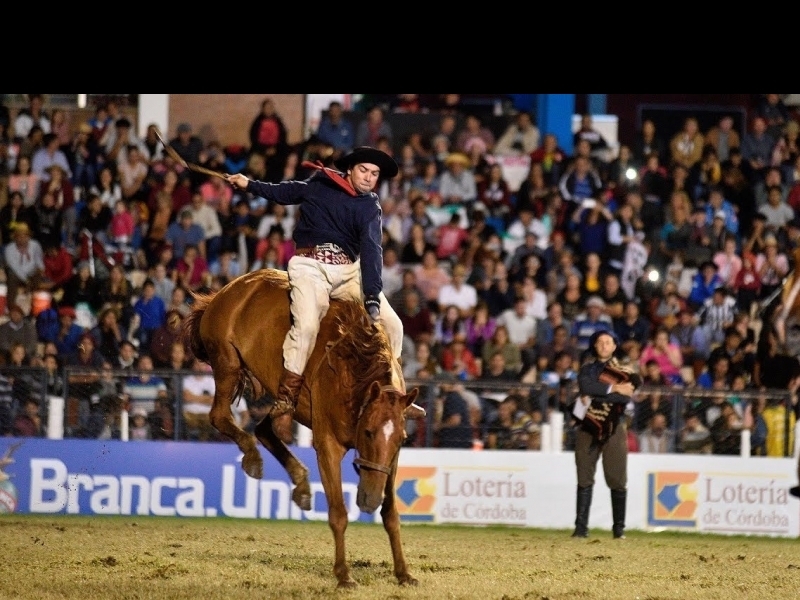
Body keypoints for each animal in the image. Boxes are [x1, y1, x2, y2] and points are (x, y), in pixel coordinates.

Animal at [180, 270, 418, 588]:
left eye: (401, 439)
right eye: (367, 432)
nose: (368, 500)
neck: (353, 371)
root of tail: (225, 292)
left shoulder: (390, 460)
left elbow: (391, 513)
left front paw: (403, 572)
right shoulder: (327, 445)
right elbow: (338, 512)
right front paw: (343, 575)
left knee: (264, 429)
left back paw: (301, 482)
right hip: (226, 363)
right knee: (220, 417)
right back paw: (252, 457)